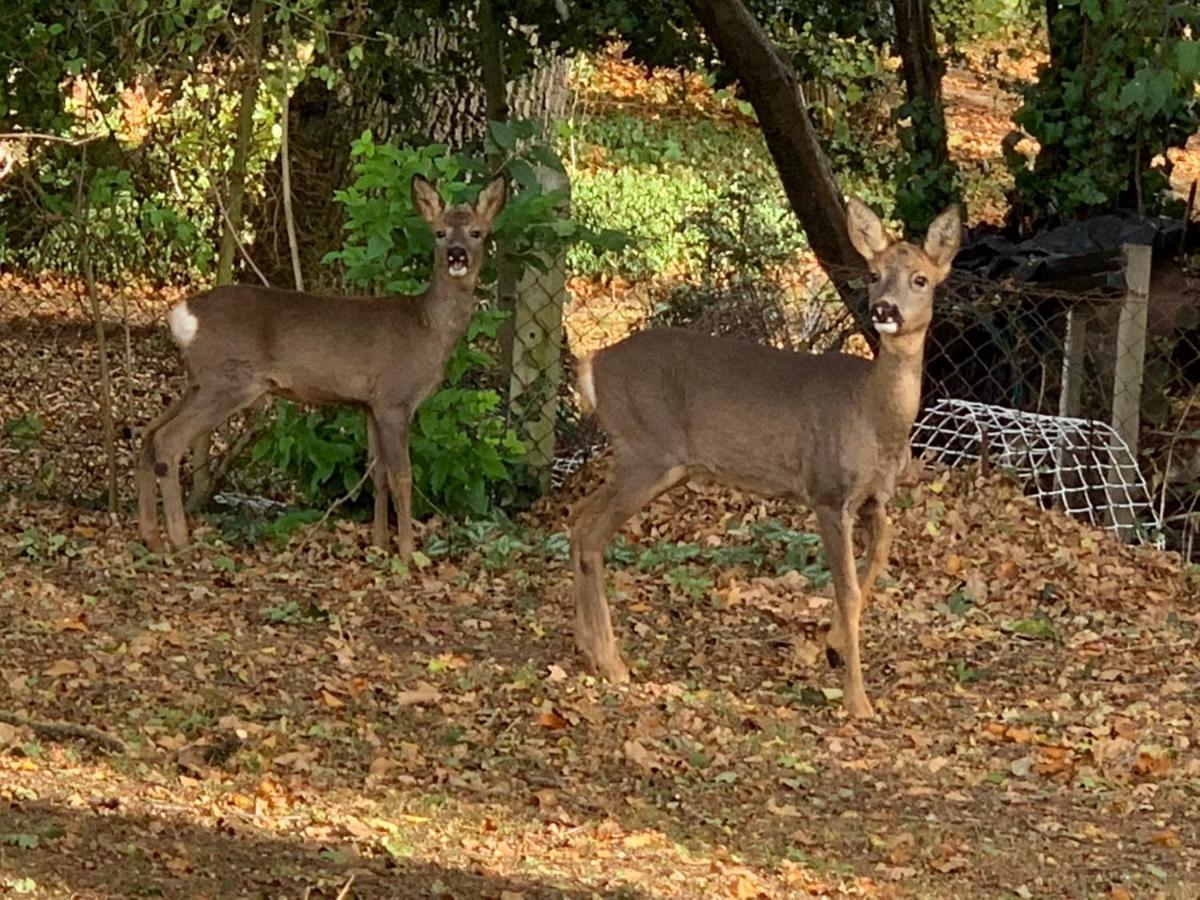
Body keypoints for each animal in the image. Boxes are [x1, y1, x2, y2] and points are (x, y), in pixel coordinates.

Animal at [139, 172, 506, 561]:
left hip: (198, 381)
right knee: (168, 439)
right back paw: (179, 539)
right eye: (439, 232)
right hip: (229, 380)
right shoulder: (395, 398)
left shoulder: (369, 404)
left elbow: (376, 473)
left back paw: (152, 536)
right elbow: (402, 477)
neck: (427, 328)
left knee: (148, 433)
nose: (457, 254)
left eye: (477, 232)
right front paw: (408, 554)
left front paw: (379, 545)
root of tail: (181, 316)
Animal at [566, 196, 960, 720]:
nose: (884, 310)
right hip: (646, 451)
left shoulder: (875, 497)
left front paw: (832, 647)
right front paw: (857, 700)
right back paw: (613, 663)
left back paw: (589, 649)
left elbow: (880, 555)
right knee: (592, 535)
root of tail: (594, 362)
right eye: (874, 274)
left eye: (921, 278)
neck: (872, 415)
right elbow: (847, 587)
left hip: (645, 461)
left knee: (576, 516)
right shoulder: (827, 491)